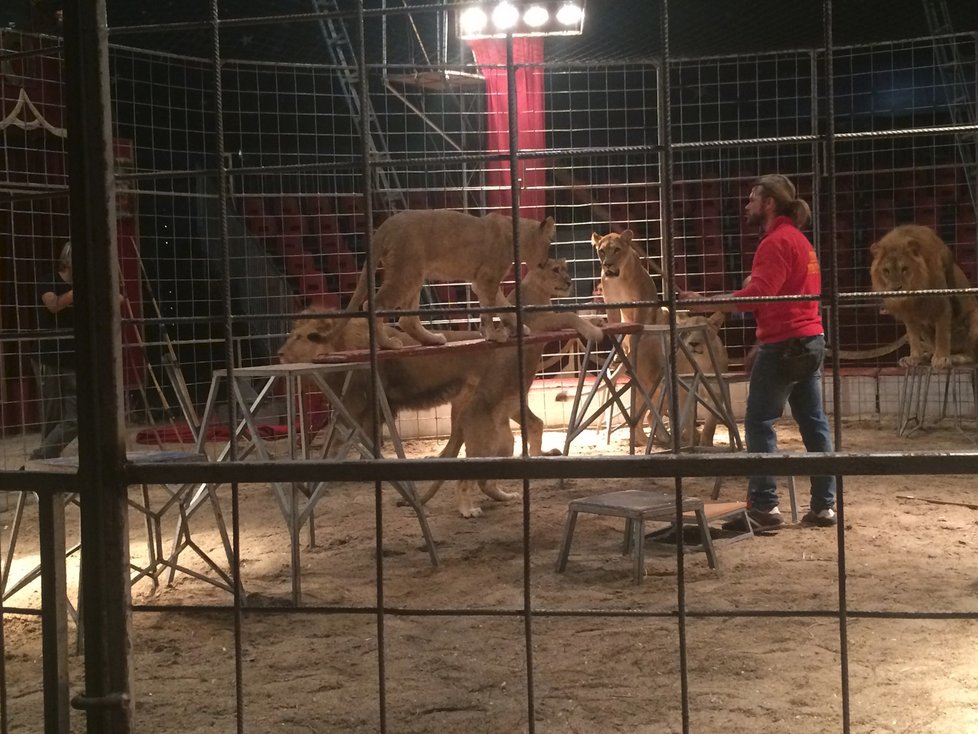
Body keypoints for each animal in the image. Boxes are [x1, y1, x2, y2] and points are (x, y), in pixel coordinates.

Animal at [868, 224, 976, 370]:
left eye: (905, 269)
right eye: (886, 271)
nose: (896, 288)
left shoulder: (942, 304)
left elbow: (942, 335)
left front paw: (941, 358)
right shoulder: (909, 315)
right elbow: (913, 337)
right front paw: (914, 358)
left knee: (972, 355)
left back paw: (954, 357)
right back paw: (927, 356)